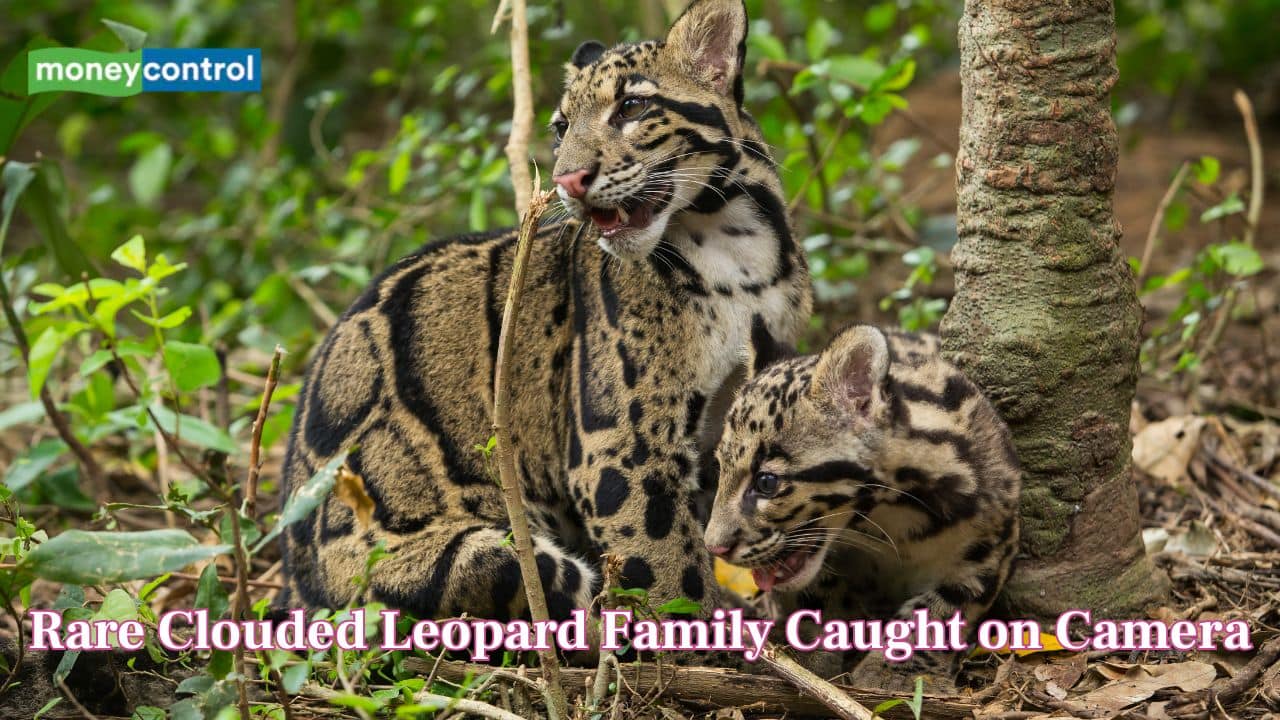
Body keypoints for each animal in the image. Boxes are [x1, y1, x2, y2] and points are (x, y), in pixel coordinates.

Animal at [279, 0, 811, 634]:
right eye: (561, 128)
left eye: (632, 107)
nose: (567, 180)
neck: (734, 247)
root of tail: (296, 585)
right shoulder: (621, 450)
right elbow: (666, 570)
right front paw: (703, 641)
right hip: (474, 559)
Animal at [705, 324, 1021, 690]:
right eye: (720, 468)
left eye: (766, 482)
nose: (714, 547)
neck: (893, 519)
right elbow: (817, 590)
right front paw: (807, 649)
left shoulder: (992, 542)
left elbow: (943, 607)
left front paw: (899, 669)